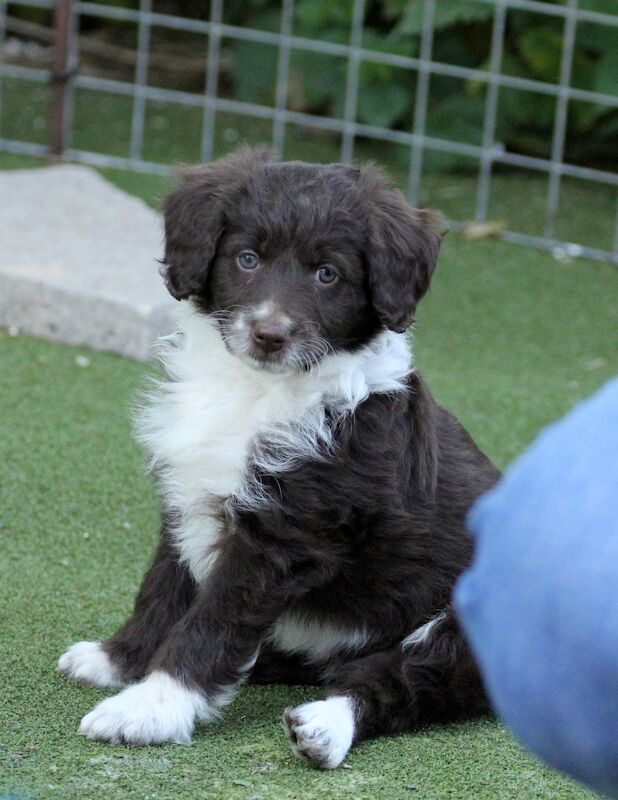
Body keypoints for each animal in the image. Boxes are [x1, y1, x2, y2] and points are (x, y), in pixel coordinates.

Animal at [57, 148, 498, 768]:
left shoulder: (283, 535)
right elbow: (162, 593)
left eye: (327, 274)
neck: (258, 390)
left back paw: (328, 726)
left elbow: (214, 620)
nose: (269, 334)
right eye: (247, 259)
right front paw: (119, 660)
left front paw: (151, 707)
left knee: (403, 678)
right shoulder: (189, 501)